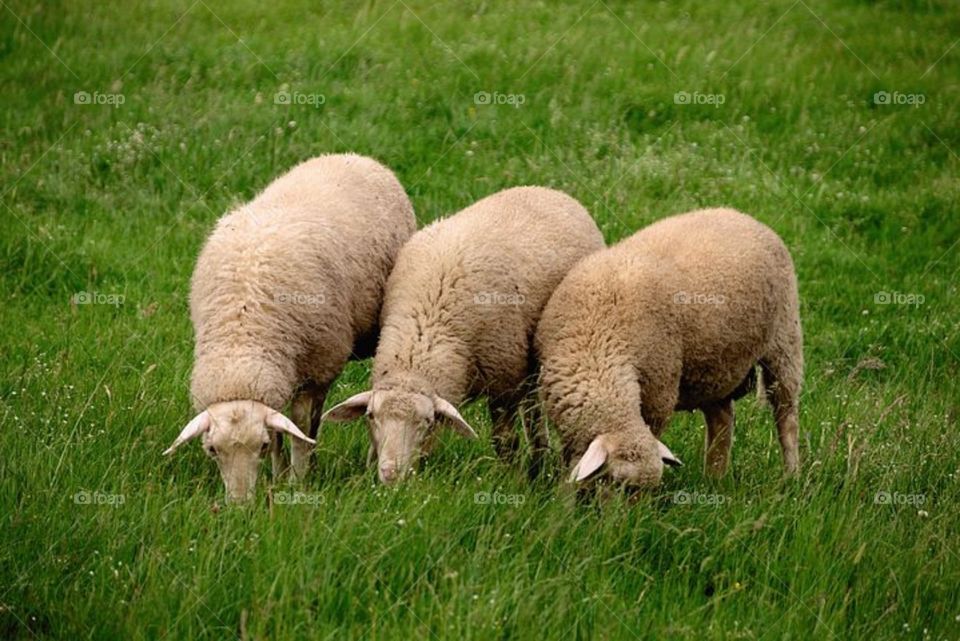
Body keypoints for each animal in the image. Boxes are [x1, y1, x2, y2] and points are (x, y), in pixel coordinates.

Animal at [163, 153, 416, 502]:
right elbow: (283, 429)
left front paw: (297, 481)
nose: (240, 505)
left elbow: (298, 428)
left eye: (259, 446)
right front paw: (280, 474)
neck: (242, 339)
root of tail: (354, 157)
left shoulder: (317, 369)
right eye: (212, 450)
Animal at [322, 186, 605, 484]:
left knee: (532, 413)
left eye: (427, 422)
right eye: (370, 416)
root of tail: (548, 190)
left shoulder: (504, 382)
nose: (391, 476)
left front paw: (511, 479)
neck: (426, 332)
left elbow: (505, 441)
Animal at [535, 208, 803, 488]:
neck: (599, 340)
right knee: (722, 420)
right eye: (614, 481)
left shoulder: (659, 395)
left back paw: (792, 476)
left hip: (785, 341)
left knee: (787, 416)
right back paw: (713, 479)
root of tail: (741, 215)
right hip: (715, 367)